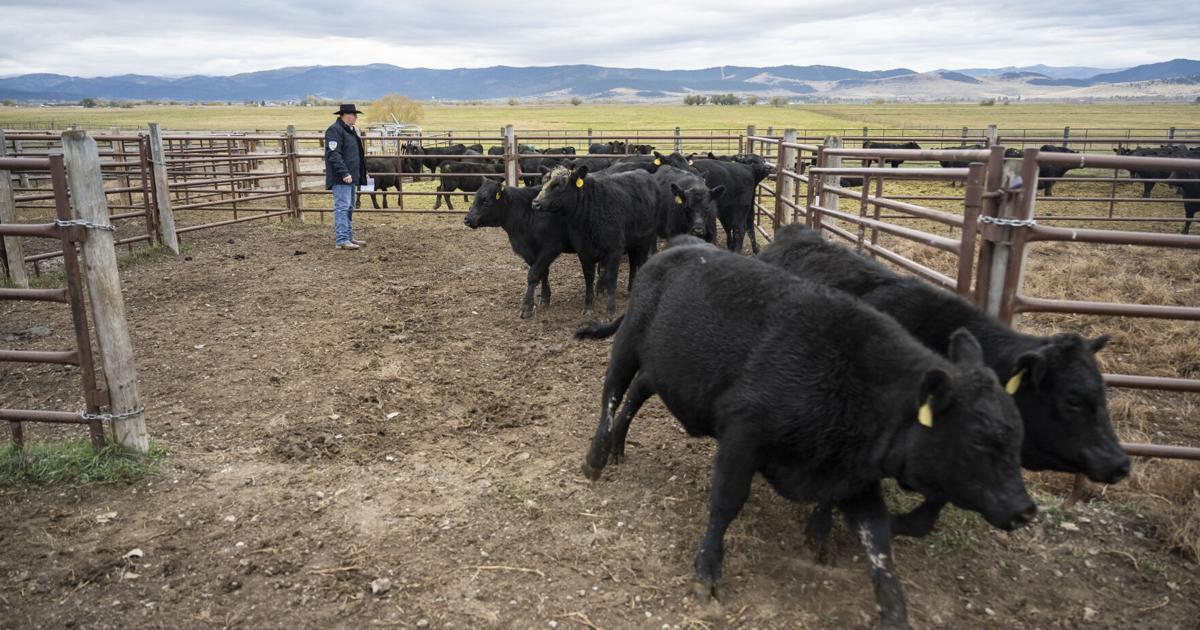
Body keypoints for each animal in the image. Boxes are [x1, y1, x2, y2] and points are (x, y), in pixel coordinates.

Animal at [464, 180, 581, 318]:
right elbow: (543, 273)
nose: (467, 219)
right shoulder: (530, 252)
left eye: (485, 200)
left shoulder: (550, 247)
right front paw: (545, 299)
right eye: (475, 197)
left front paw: (527, 307)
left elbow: (533, 274)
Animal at [531, 165, 659, 317]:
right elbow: (589, 278)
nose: (535, 203)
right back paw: (631, 288)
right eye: (543, 182)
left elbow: (611, 278)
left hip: (646, 240)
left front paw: (610, 310)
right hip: (632, 242)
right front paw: (588, 307)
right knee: (633, 263)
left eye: (559, 185)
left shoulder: (615, 250)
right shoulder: (583, 251)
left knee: (641, 262)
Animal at [575, 237, 1035, 628]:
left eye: (1017, 433)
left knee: (635, 393)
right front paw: (706, 574)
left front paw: (894, 611)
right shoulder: (743, 433)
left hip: (663, 368)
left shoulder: (856, 479)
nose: (1025, 509)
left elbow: (877, 542)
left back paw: (617, 447)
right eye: (979, 438)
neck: (851, 382)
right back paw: (596, 457)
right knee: (612, 391)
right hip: (628, 343)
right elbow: (725, 502)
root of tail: (680, 244)